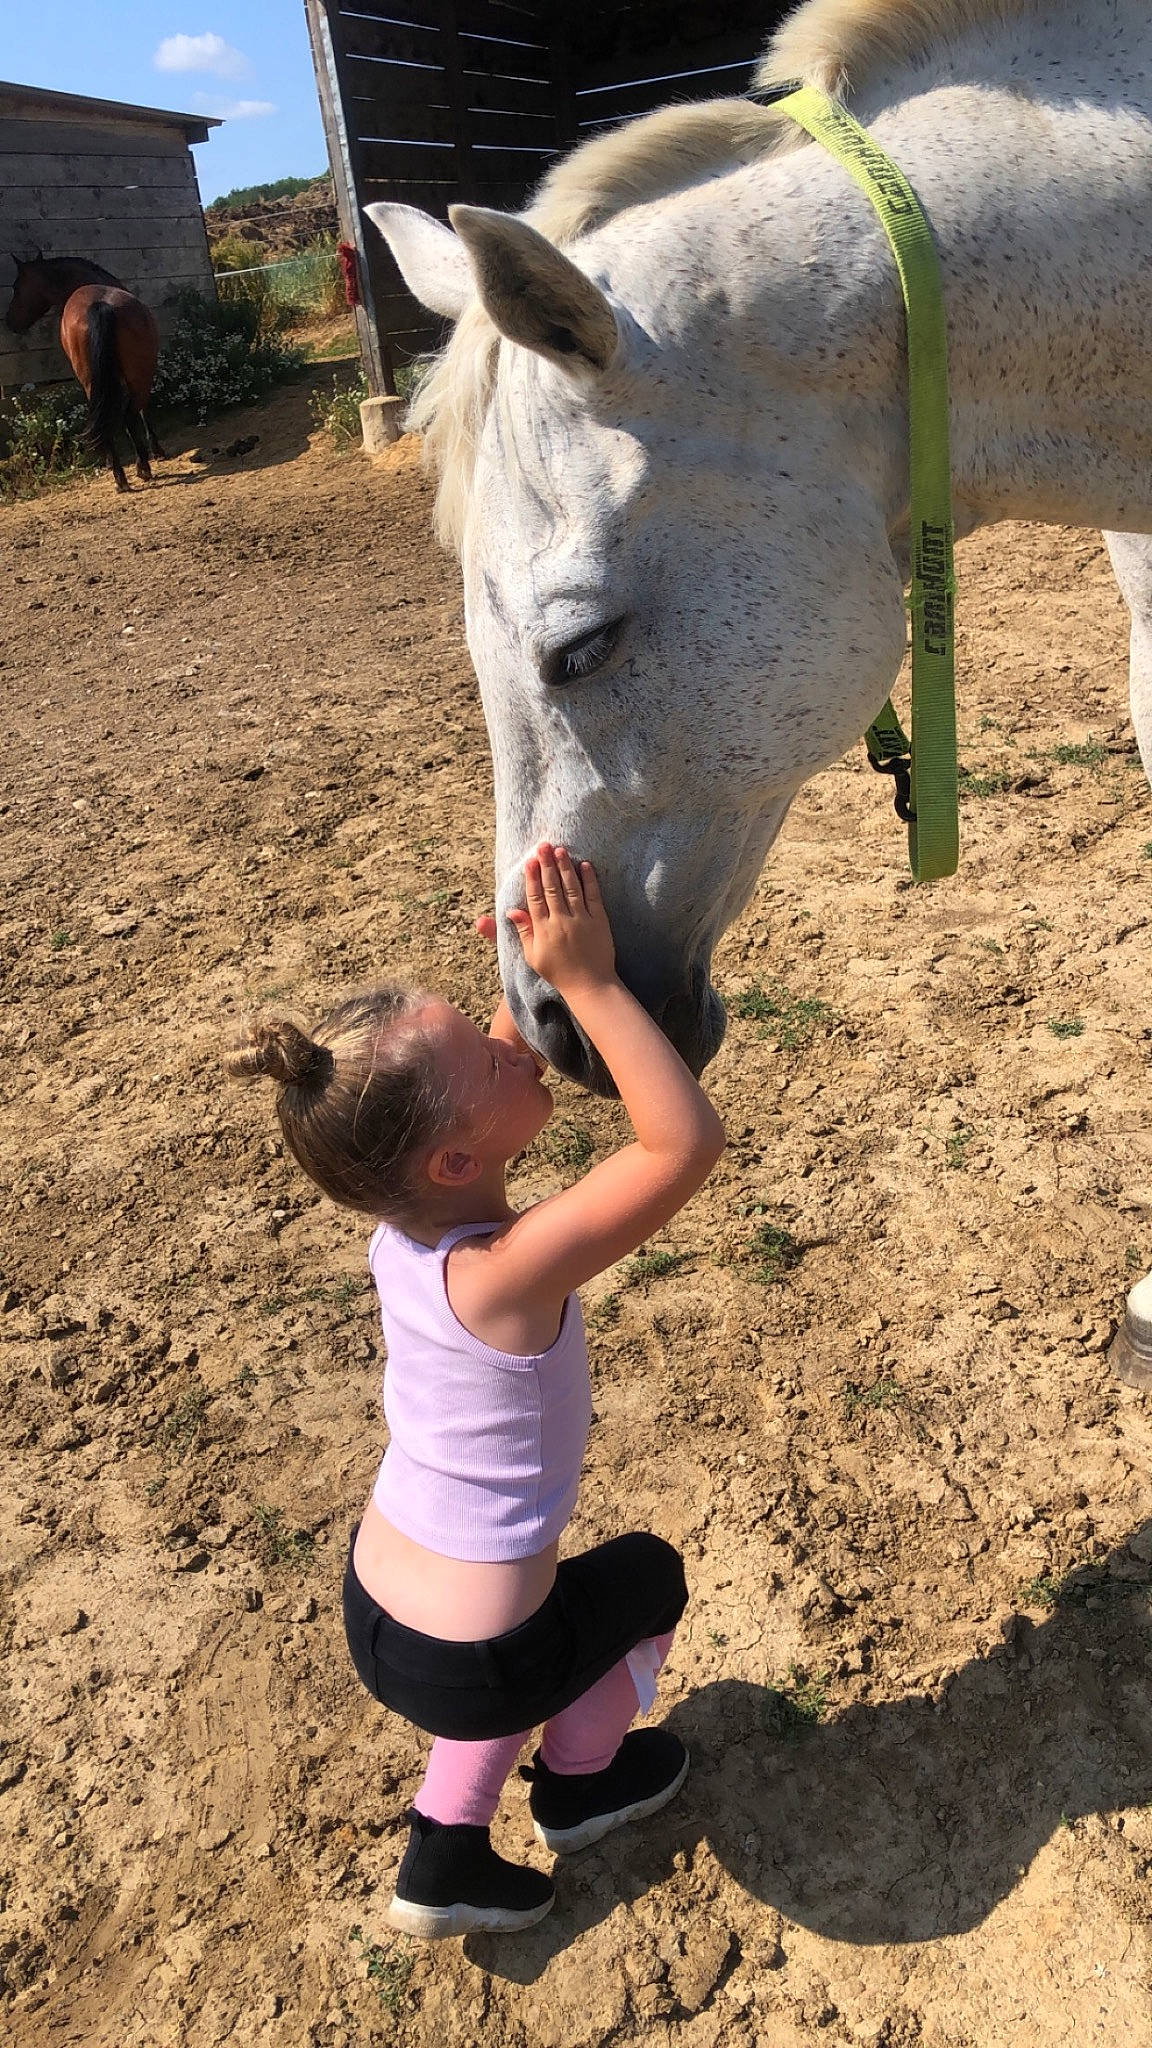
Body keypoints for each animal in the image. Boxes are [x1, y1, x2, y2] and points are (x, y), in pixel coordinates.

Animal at [5, 253, 168, 491]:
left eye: (17, 287)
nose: (9, 322)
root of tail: (100, 305)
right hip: (130, 377)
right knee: (126, 414)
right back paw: (134, 471)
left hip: (108, 379)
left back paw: (126, 473)